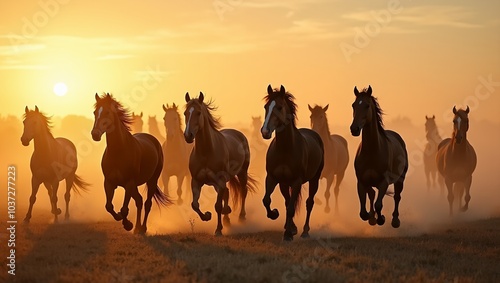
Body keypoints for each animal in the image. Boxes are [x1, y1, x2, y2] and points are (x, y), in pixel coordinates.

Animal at [90, 94, 168, 234]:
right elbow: (109, 206)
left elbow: (125, 209)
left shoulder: (129, 183)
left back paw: (142, 228)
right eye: (95, 112)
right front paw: (123, 219)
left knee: (147, 203)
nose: (95, 134)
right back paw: (137, 227)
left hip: (152, 181)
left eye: (107, 112)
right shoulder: (109, 183)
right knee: (139, 201)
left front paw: (127, 225)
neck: (118, 152)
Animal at [183, 92, 258, 236]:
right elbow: (194, 204)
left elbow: (217, 205)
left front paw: (218, 229)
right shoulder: (196, 181)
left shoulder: (220, 179)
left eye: (198, 113)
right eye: (185, 113)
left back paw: (241, 217)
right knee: (227, 193)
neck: (206, 152)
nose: (188, 136)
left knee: (243, 191)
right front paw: (207, 216)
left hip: (241, 173)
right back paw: (227, 218)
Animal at [260, 85, 326, 242]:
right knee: (287, 201)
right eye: (266, 106)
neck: (285, 149)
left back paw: (304, 231)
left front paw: (288, 235)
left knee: (309, 203)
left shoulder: (297, 181)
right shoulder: (272, 178)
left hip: (314, 180)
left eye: (279, 107)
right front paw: (274, 214)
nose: (265, 131)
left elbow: (291, 208)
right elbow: (266, 200)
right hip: (284, 184)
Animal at [350, 86, 408, 229]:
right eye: (353, 105)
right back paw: (372, 218)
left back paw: (395, 221)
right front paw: (371, 217)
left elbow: (378, 204)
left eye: (366, 105)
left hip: (400, 179)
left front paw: (381, 218)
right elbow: (363, 210)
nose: (354, 129)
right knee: (372, 195)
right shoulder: (361, 182)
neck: (372, 152)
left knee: (397, 197)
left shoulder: (384, 182)